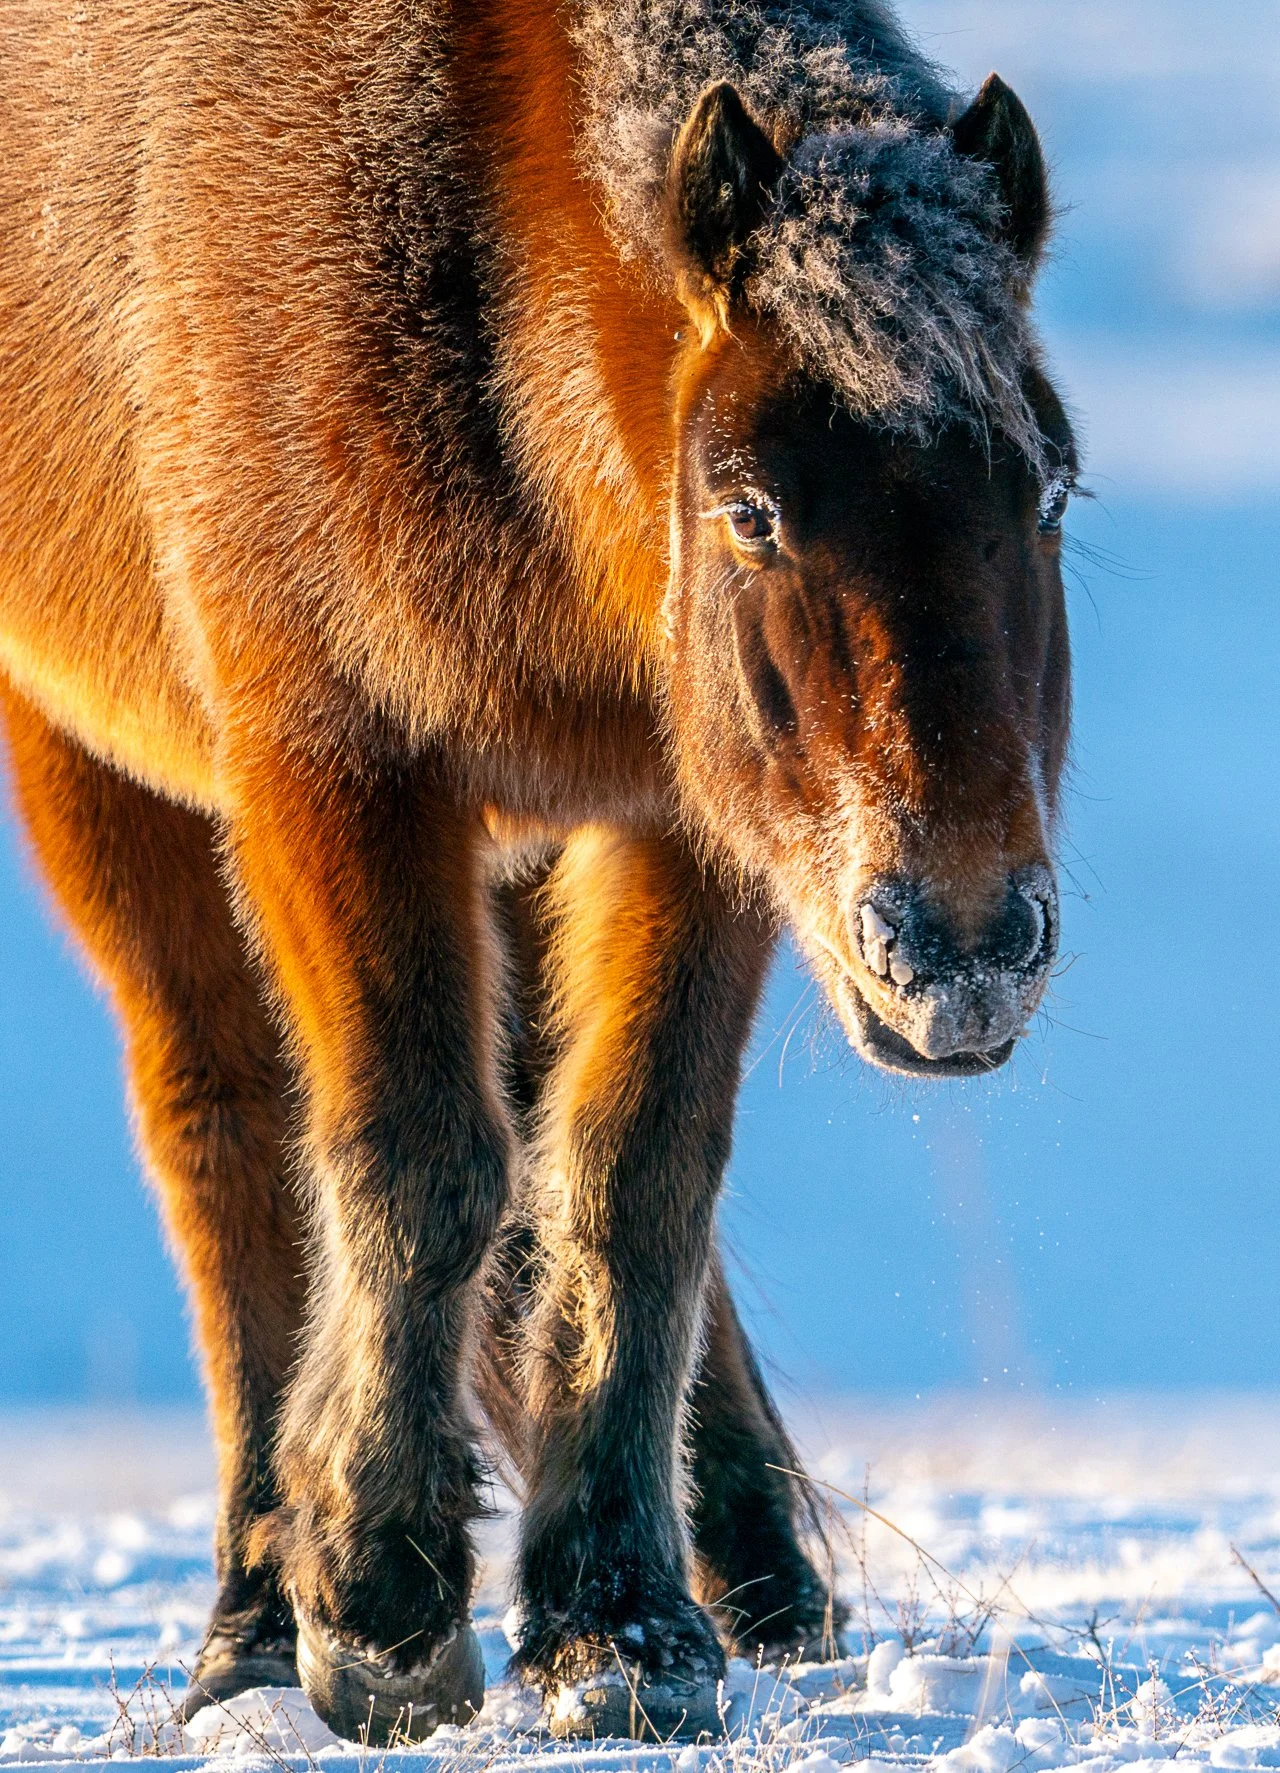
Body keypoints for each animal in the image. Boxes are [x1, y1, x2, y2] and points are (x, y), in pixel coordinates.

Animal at [0, 0, 1076, 1743]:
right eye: (752, 510)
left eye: (1044, 489)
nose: (965, 948)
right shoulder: (338, 772)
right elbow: (413, 1155)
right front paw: (378, 1605)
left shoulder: (675, 816)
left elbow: (631, 1178)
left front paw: (620, 1626)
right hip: (101, 769)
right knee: (225, 1129)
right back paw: (253, 1614)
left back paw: (761, 1570)